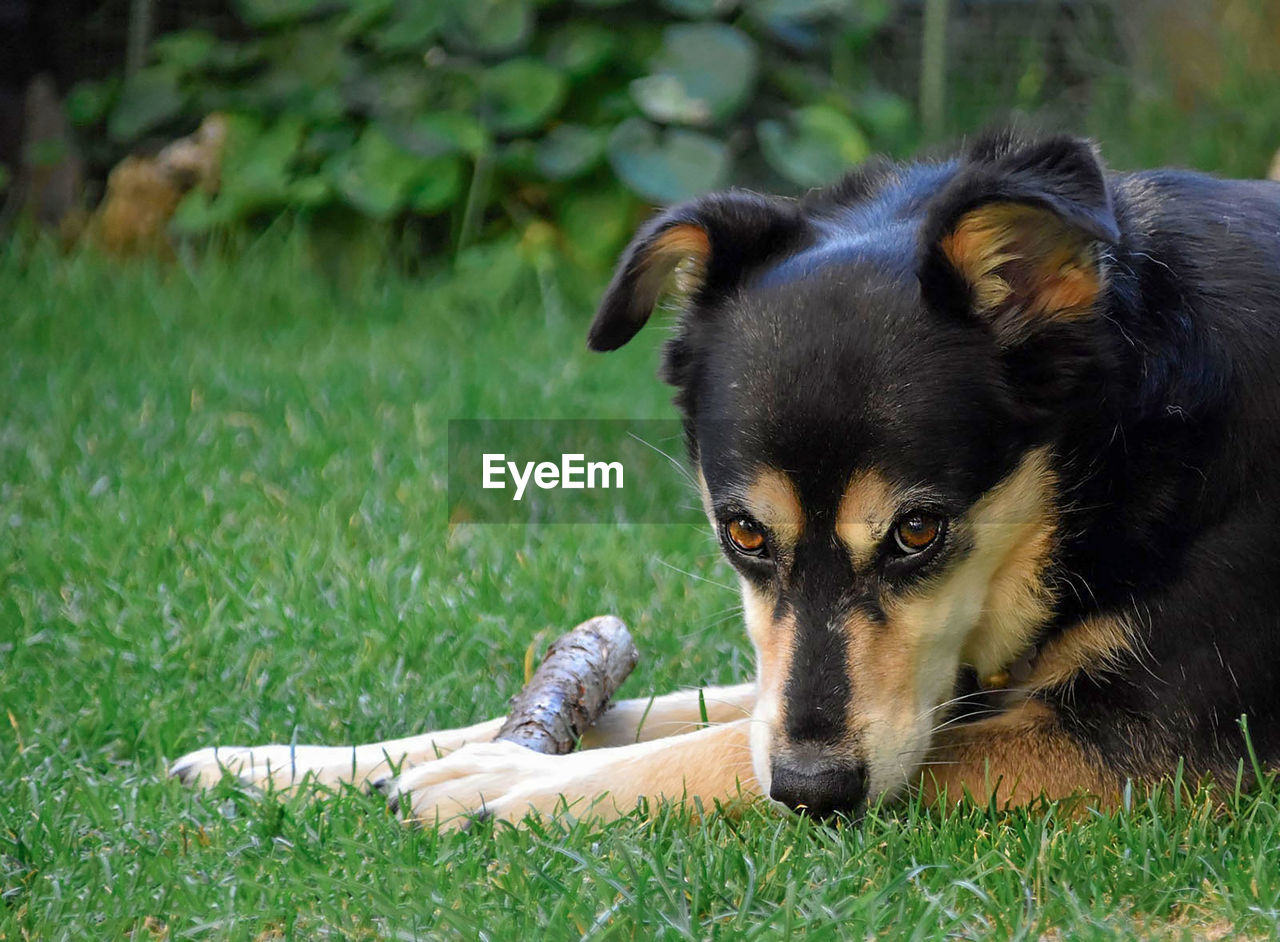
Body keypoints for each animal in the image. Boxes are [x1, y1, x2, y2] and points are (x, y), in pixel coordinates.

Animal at [175, 132, 1280, 824]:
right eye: (743, 534)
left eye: (918, 531)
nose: (814, 790)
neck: (1121, 449)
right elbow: (691, 710)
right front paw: (291, 763)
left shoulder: (1140, 747)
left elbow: (708, 748)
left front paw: (498, 784)